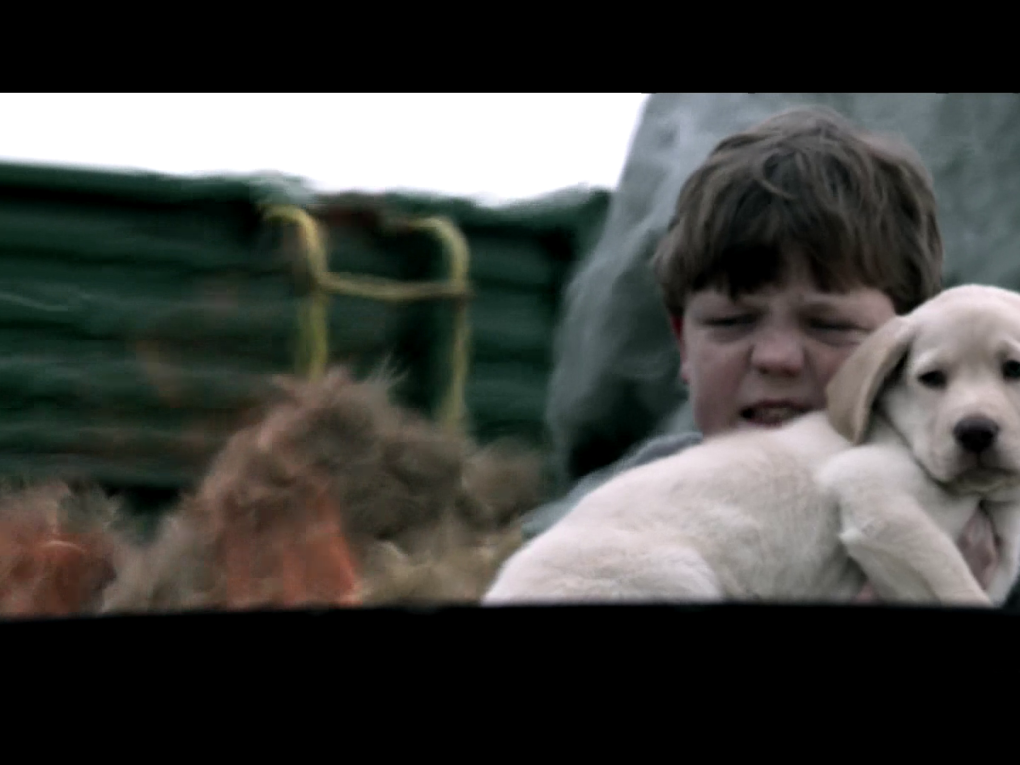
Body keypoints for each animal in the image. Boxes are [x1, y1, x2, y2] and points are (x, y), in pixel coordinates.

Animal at [483, 284, 1020, 606]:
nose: (975, 432)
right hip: (677, 575)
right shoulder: (876, 499)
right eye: (931, 379)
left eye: (1013, 369)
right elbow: (955, 583)